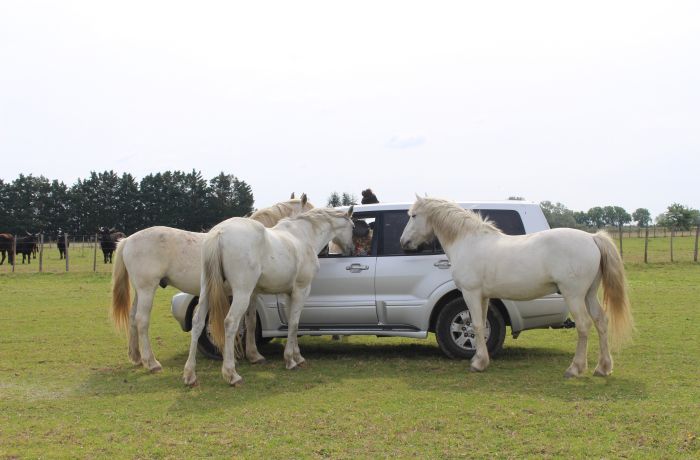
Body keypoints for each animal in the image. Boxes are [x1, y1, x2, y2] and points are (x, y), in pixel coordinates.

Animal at [111, 194, 313, 372]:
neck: (267, 243)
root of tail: (127, 240)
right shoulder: (248, 292)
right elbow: (248, 322)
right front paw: (250, 355)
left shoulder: (250, 293)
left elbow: (250, 321)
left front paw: (253, 355)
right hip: (147, 289)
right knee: (142, 320)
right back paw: (151, 363)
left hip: (140, 290)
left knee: (132, 317)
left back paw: (136, 357)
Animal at [183, 206, 355, 387]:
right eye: (353, 227)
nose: (352, 249)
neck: (302, 236)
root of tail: (219, 233)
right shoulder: (301, 290)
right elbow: (295, 324)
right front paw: (291, 361)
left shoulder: (289, 294)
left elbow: (291, 324)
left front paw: (297, 357)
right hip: (242, 293)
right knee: (230, 323)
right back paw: (232, 374)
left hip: (207, 291)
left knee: (198, 322)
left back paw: (190, 375)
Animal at [400, 196, 633, 378]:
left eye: (413, 215)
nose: (403, 242)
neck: (468, 242)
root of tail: (592, 238)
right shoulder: (483, 296)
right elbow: (481, 325)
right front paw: (480, 359)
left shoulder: (471, 293)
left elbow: (475, 325)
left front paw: (478, 364)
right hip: (589, 294)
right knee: (601, 322)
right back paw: (603, 368)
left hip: (573, 294)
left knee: (584, 325)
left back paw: (574, 369)